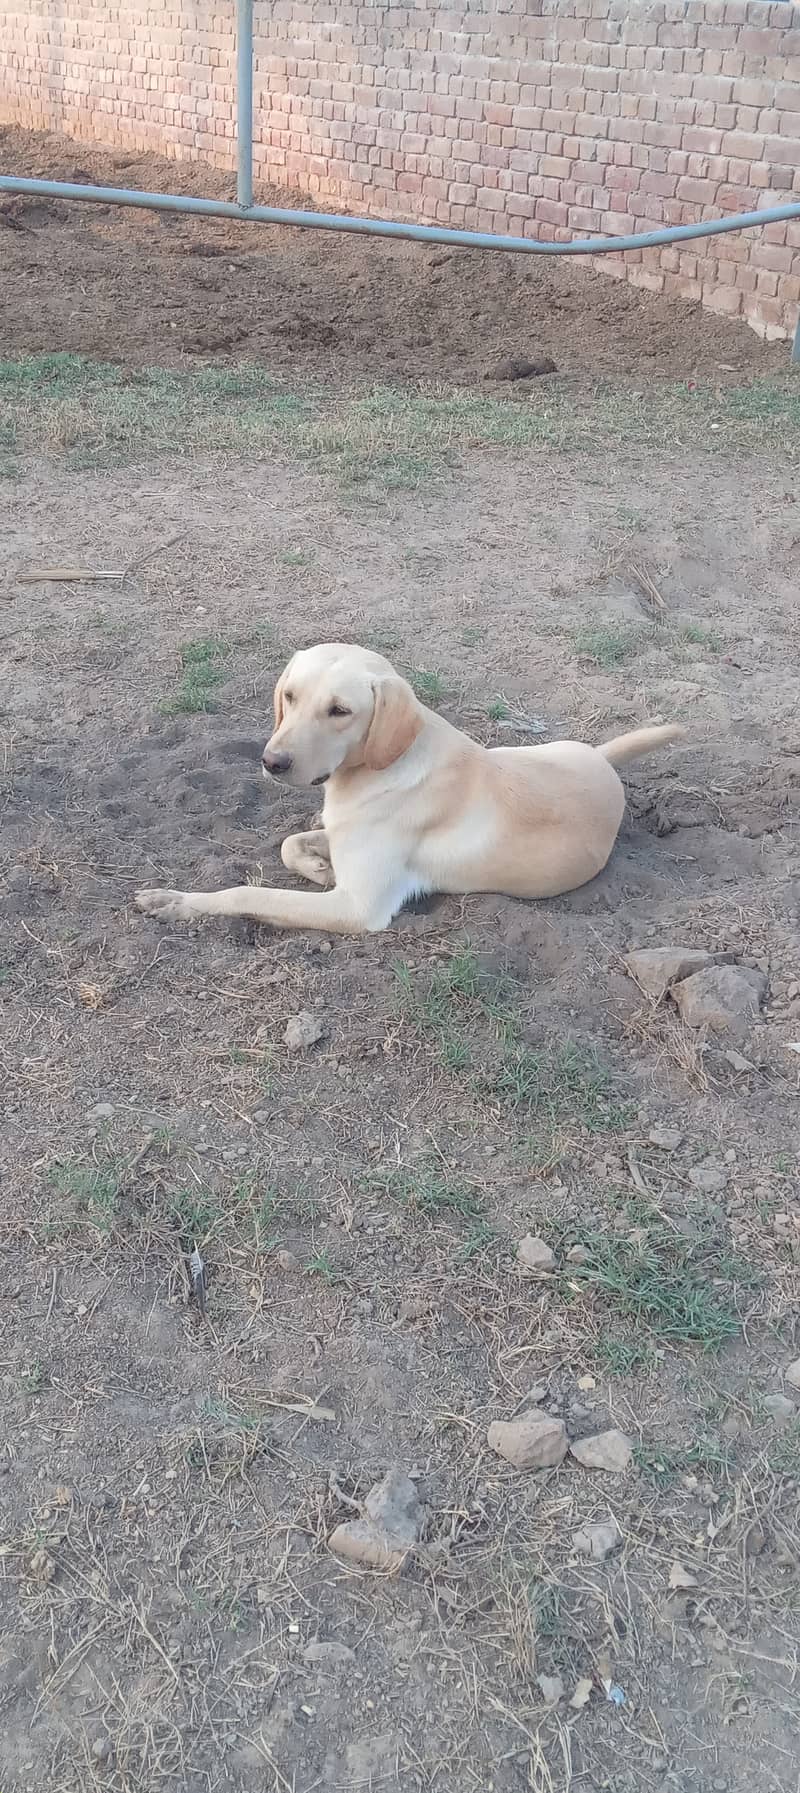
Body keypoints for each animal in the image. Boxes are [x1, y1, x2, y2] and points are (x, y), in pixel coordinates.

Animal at [136, 641, 681, 939]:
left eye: (339, 711)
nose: (272, 762)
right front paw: (316, 865)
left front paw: (179, 902)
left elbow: (248, 892)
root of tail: (602, 761)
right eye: (289, 696)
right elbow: (291, 842)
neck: (378, 768)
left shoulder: (357, 908)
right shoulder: (341, 833)